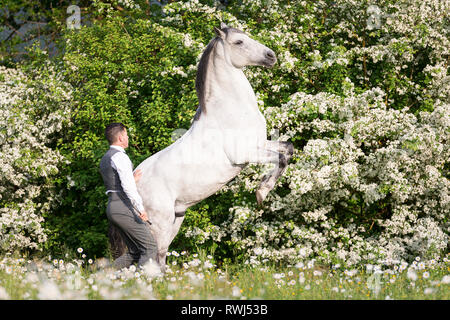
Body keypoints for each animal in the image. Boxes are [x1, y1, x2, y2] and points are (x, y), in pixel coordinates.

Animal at [135, 22, 294, 268]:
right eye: (238, 42)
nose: (271, 56)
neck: (230, 110)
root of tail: (132, 180)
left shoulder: (260, 144)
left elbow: (288, 149)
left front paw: (263, 191)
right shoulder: (247, 154)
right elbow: (282, 158)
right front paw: (261, 193)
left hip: (176, 218)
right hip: (159, 224)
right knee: (156, 257)